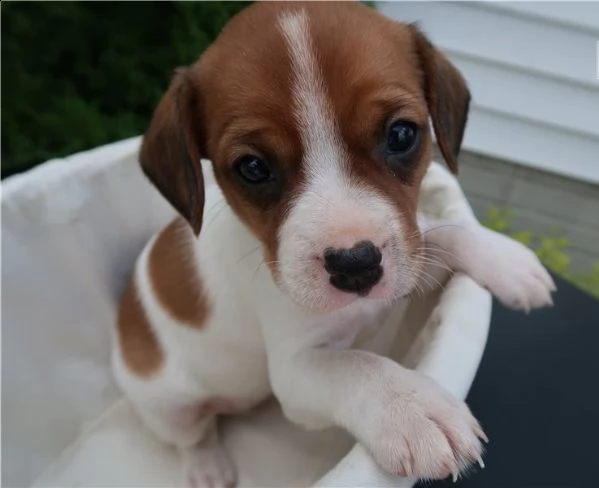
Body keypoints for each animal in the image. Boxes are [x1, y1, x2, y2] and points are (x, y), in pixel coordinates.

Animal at [111, 1, 552, 486]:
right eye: (252, 167)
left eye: (401, 134)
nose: (355, 264)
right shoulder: (297, 370)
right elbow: (358, 366)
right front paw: (414, 408)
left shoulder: (409, 255)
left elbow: (443, 231)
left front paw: (507, 261)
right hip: (170, 406)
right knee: (193, 436)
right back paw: (208, 467)